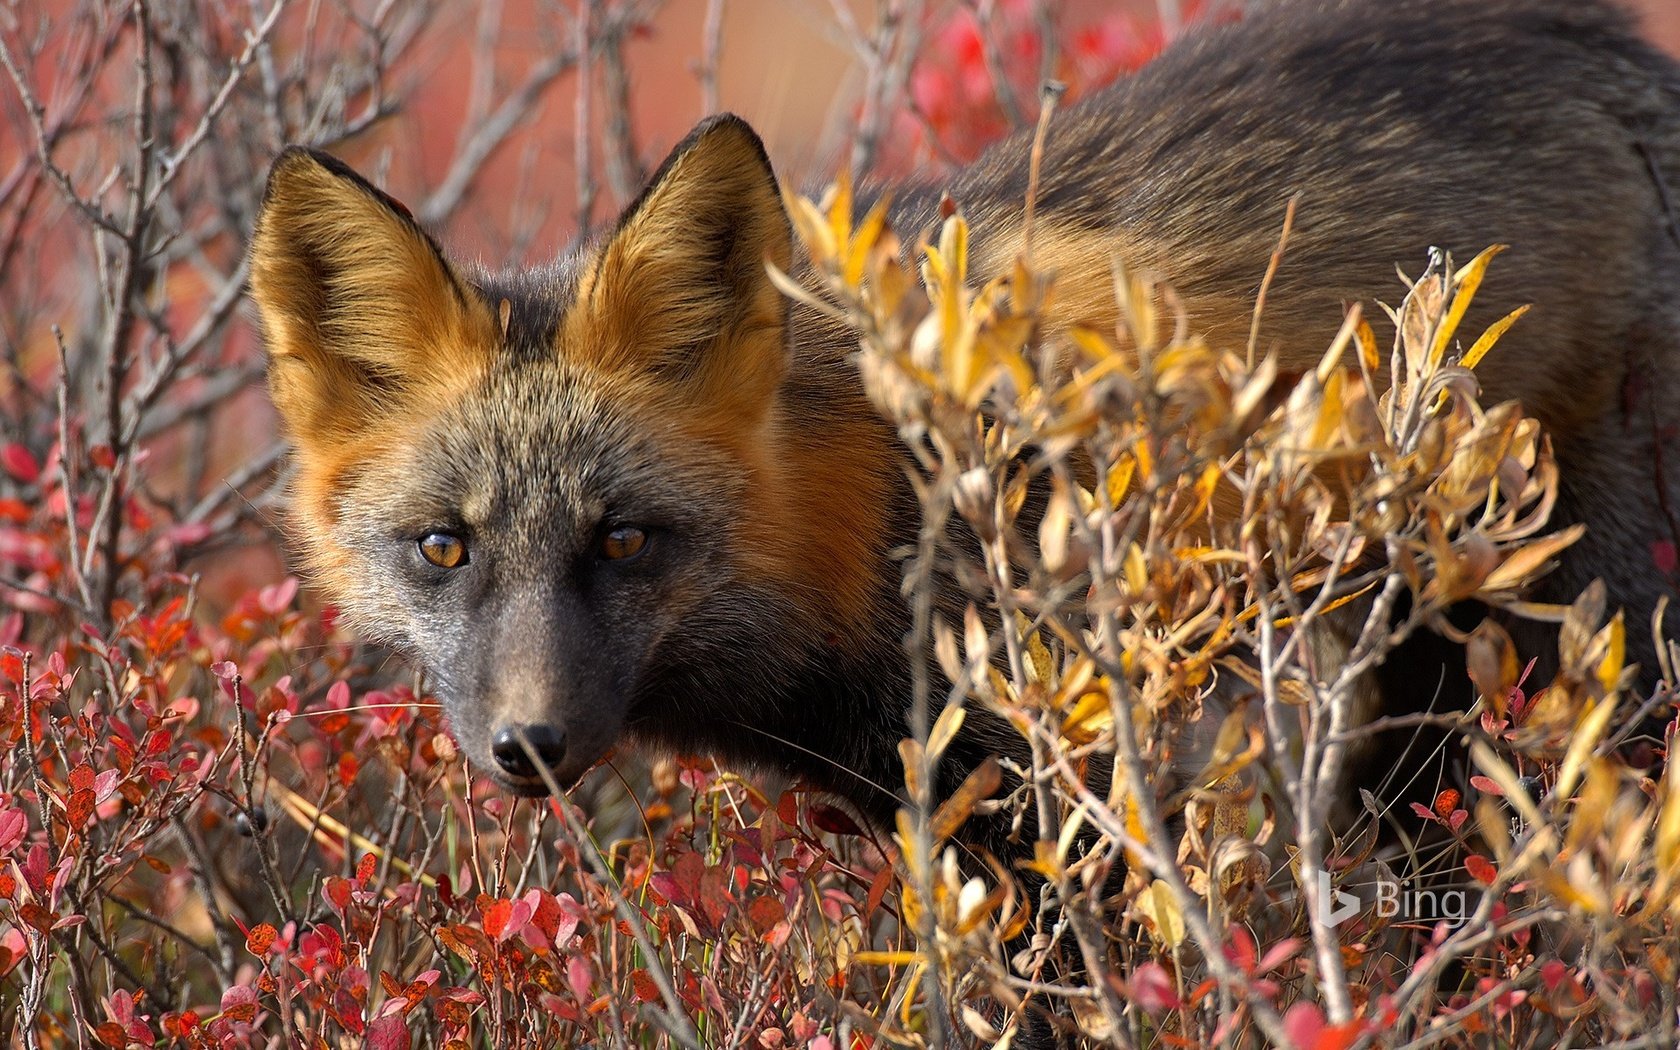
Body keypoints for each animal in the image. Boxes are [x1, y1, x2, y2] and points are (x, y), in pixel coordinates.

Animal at [245, 0, 1680, 836]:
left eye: (625, 540)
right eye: (444, 547)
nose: (529, 749)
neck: (867, 512)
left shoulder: (1068, 785)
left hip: (1595, 648)